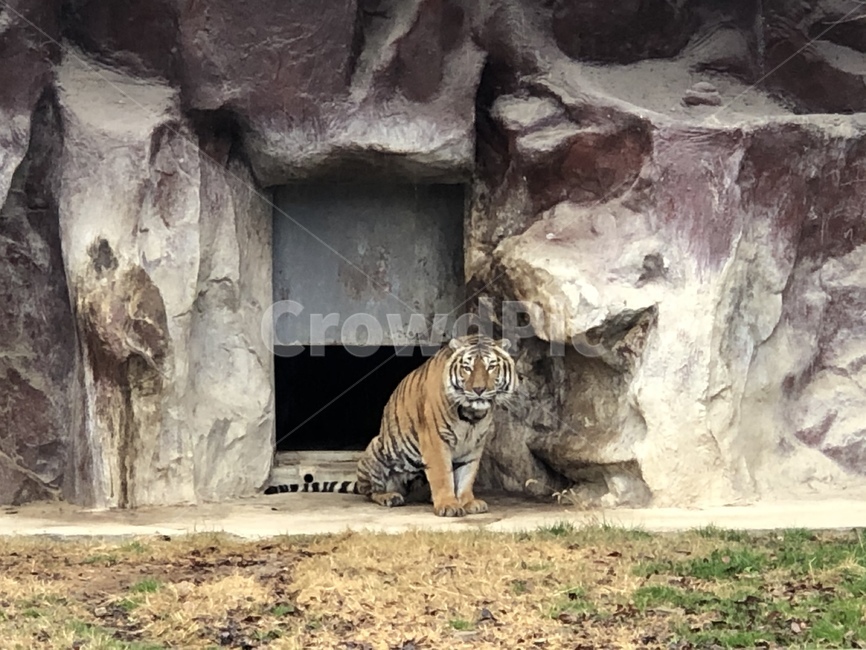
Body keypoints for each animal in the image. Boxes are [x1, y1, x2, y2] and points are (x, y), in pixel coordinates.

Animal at [356, 333, 517, 517]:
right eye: (467, 368)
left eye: (491, 366)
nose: (478, 389)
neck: (471, 416)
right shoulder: (435, 440)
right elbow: (442, 474)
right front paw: (448, 505)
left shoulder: (474, 446)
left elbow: (467, 475)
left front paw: (468, 502)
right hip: (376, 450)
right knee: (370, 491)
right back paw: (389, 497)